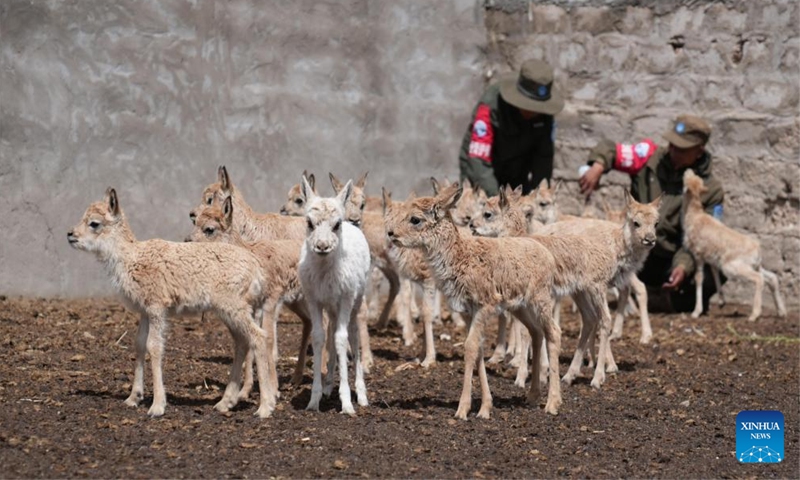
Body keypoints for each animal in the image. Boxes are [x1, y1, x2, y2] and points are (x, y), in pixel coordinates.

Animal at [69, 189, 276, 418]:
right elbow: (139, 344)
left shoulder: (157, 307)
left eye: (94, 223)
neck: (131, 258)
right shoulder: (144, 311)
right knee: (241, 341)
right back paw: (225, 402)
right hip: (230, 310)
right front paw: (133, 398)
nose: (70, 235)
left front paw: (157, 406)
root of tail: (257, 270)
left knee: (259, 337)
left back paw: (265, 407)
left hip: (234, 306)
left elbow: (154, 346)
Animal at [188, 197, 312, 392]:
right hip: (296, 301)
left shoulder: (271, 301)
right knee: (309, 322)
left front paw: (272, 387)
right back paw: (296, 378)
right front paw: (245, 389)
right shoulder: (252, 307)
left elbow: (268, 339)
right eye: (195, 221)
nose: (187, 241)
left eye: (209, 229)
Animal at [298, 175, 374, 412]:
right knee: (331, 331)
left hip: (356, 300)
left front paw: (347, 403)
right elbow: (319, 337)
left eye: (336, 224)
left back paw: (362, 395)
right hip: (331, 306)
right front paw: (314, 400)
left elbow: (342, 339)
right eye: (309, 222)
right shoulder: (313, 298)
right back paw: (328, 385)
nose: (322, 246)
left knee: (353, 334)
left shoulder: (346, 298)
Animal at [382, 182, 560, 418]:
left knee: (553, 332)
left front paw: (463, 409)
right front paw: (485, 407)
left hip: (540, 299)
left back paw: (553, 403)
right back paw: (532, 397)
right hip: (520, 306)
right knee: (536, 332)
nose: (391, 233)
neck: (461, 258)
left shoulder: (484, 306)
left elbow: (469, 348)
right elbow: (478, 350)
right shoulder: (467, 311)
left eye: (415, 219)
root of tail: (548, 255)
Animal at [680, 170, 788, 322]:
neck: (694, 215)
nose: (688, 170)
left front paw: (696, 312)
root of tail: (757, 250)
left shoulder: (698, 255)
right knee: (772, 278)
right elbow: (714, 273)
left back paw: (754, 315)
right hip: (753, 266)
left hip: (733, 267)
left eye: (687, 179)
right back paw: (781, 311)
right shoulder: (711, 259)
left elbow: (699, 278)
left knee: (759, 279)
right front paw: (721, 302)